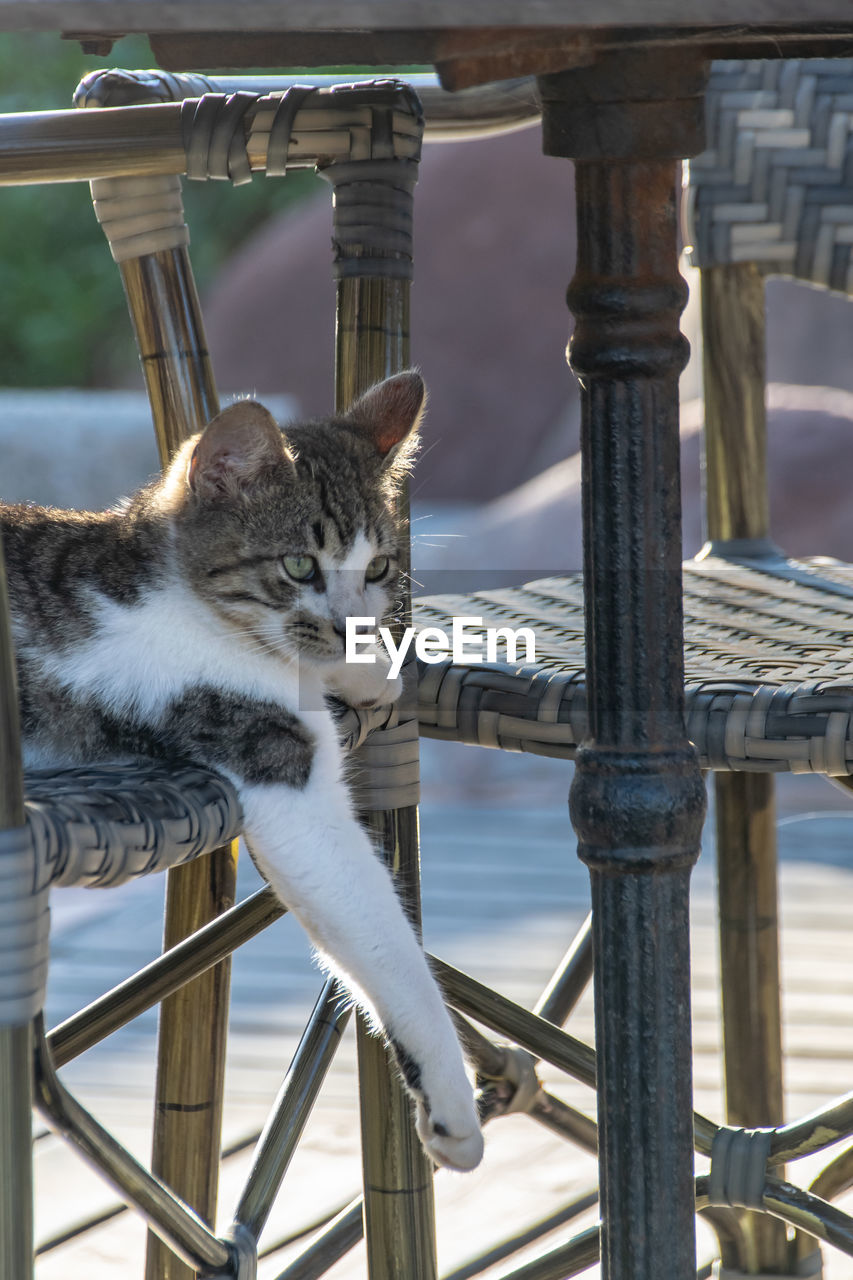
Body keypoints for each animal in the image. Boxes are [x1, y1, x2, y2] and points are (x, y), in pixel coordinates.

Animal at [3, 368, 481, 1172]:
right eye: (298, 565)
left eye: (378, 567)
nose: (352, 625)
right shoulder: (276, 766)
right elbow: (383, 936)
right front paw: (452, 1100)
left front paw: (366, 669)